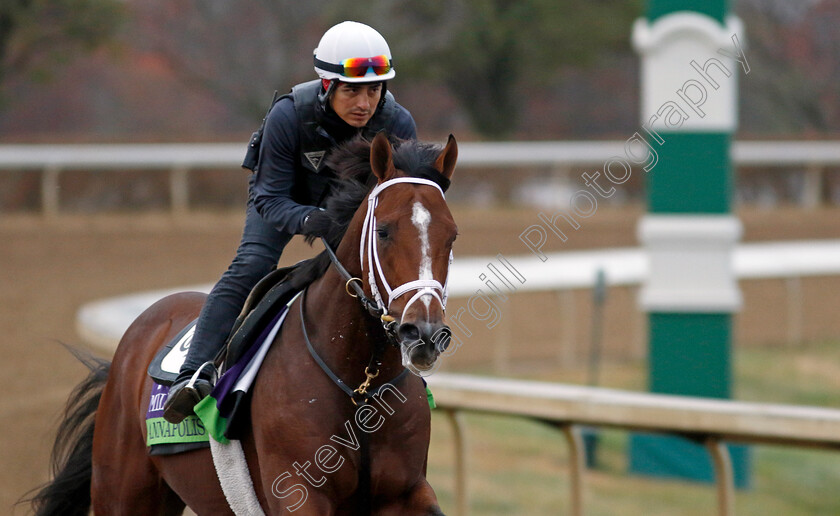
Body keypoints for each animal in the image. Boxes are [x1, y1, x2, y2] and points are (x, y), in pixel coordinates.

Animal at [29, 133, 460, 516]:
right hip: (122, 492)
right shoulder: (298, 492)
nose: (422, 334)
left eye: (452, 236)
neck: (360, 386)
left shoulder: (405, 492)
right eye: (384, 231)